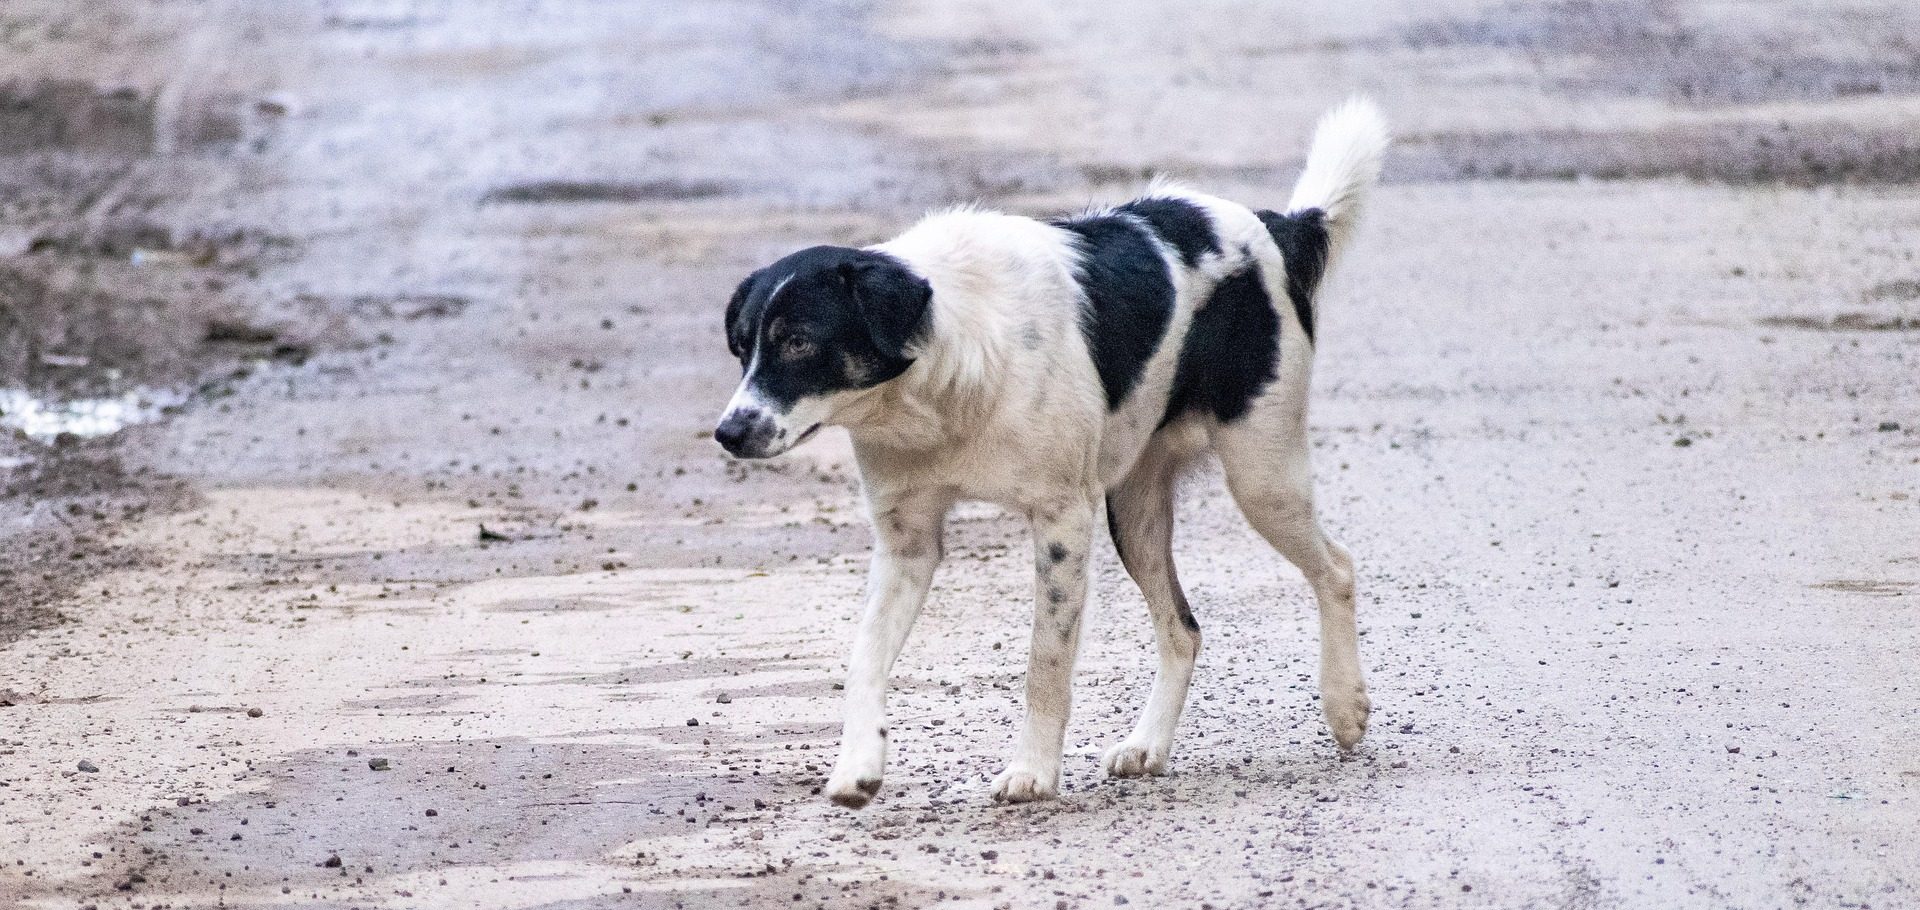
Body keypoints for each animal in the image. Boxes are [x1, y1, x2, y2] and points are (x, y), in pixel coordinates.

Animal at [714, 97, 1390, 802]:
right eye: (740, 346)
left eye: (798, 341)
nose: (728, 432)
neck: (938, 380)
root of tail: (1276, 225)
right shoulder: (907, 543)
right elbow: (863, 657)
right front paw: (858, 765)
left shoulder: (1063, 519)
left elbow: (1046, 660)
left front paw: (1033, 771)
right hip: (1136, 511)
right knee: (1182, 629)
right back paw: (1149, 744)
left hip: (1262, 474)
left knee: (1336, 568)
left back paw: (1344, 705)